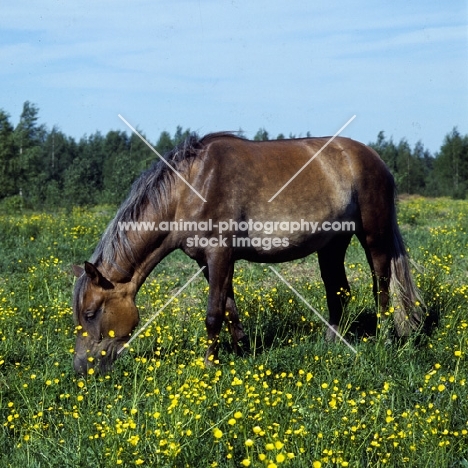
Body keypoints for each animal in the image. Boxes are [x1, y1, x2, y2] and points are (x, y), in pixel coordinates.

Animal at [71, 131, 422, 372]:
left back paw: (384, 337)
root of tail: (374, 158)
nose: (80, 369)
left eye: (90, 314)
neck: (190, 188)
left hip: (374, 236)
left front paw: (209, 365)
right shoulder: (208, 263)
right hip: (333, 244)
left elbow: (213, 314)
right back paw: (332, 342)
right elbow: (229, 309)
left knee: (382, 285)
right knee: (340, 291)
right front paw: (242, 350)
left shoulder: (219, 254)